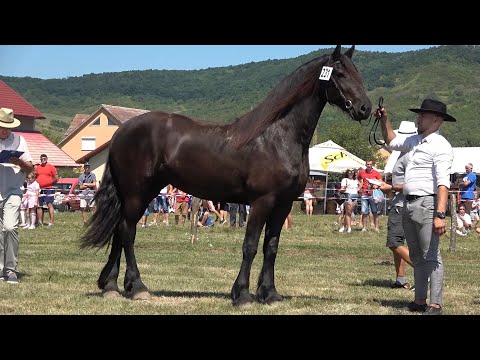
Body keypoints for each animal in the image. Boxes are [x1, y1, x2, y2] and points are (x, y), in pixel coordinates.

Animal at [80, 43, 372, 306]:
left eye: (358, 73)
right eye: (340, 74)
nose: (365, 108)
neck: (278, 137)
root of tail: (121, 132)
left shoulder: (283, 204)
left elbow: (271, 247)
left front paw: (270, 294)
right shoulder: (262, 201)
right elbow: (250, 245)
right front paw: (242, 295)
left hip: (140, 193)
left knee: (119, 231)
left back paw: (112, 286)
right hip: (137, 193)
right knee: (127, 232)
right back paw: (138, 287)